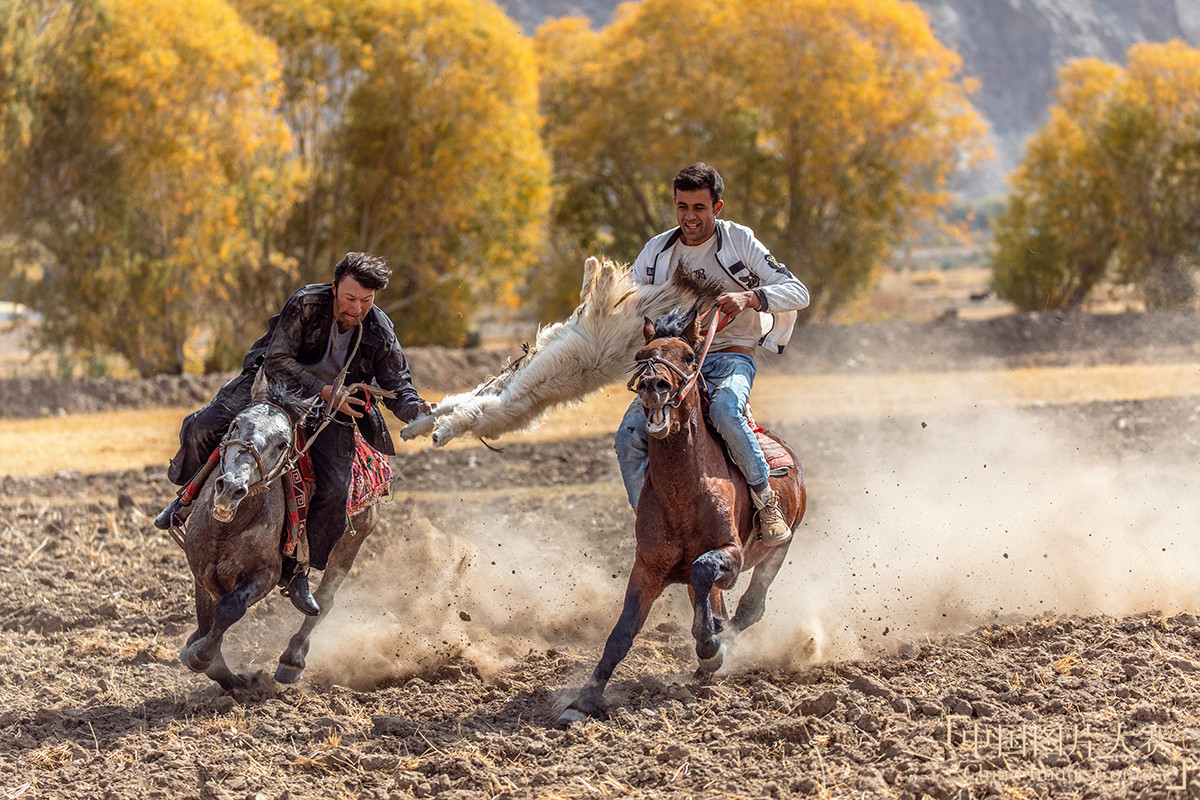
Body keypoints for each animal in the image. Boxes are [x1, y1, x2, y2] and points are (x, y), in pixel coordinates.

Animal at [177, 371, 379, 690]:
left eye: (283, 443)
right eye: (236, 423)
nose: (230, 488)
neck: (229, 528)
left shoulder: (266, 574)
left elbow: (230, 608)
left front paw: (201, 656)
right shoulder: (202, 572)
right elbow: (208, 620)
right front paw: (211, 662)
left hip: (349, 547)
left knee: (324, 600)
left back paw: (291, 660)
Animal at [559, 303, 806, 724]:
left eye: (690, 356)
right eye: (640, 357)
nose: (653, 385)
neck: (685, 494)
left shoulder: (731, 554)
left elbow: (705, 572)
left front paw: (710, 649)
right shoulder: (647, 567)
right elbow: (621, 634)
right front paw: (583, 700)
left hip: (778, 549)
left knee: (750, 606)